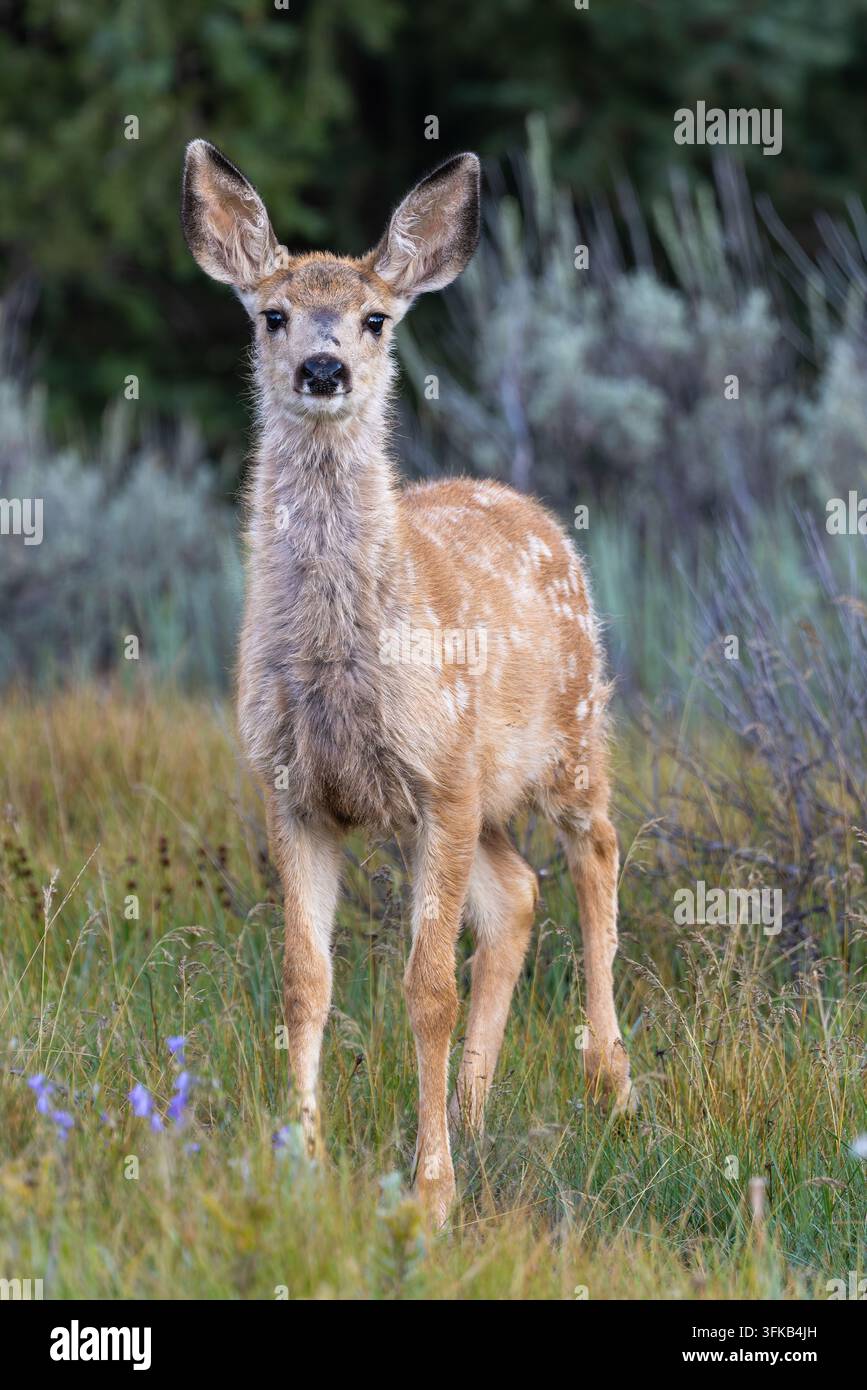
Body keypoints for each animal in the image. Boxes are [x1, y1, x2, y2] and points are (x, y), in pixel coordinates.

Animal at [181, 140, 634, 1225]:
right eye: (272, 313)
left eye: (376, 317)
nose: (324, 367)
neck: (341, 665)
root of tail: (535, 510)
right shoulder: (295, 790)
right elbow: (305, 982)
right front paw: (301, 1163)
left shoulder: (440, 776)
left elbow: (425, 989)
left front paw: (431, 1196)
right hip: (490, 789)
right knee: (517, 897)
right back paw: (474, 1106)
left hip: (568, 734)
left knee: (596, 854)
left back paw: (609, 1079)